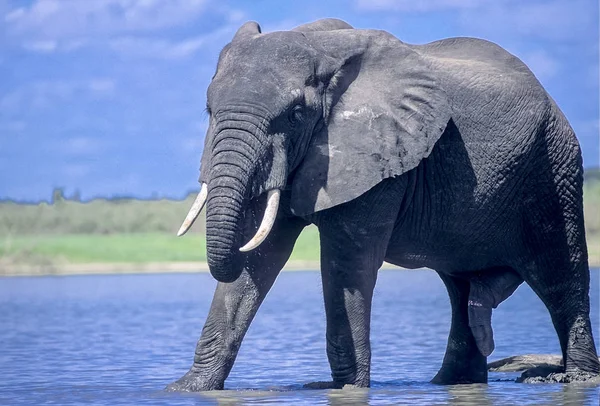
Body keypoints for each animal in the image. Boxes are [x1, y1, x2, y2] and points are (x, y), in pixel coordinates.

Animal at [165, 18, 600, 390]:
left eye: (296, 113)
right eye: (209, 110)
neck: (321, 48)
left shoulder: (380, 156)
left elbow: (346, 265)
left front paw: (344, 389)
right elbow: (259, 258)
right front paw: (187, 389)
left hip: (553, 167)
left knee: (561, 274)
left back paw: (573, 379)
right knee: (459, 287)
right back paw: (453, 379)